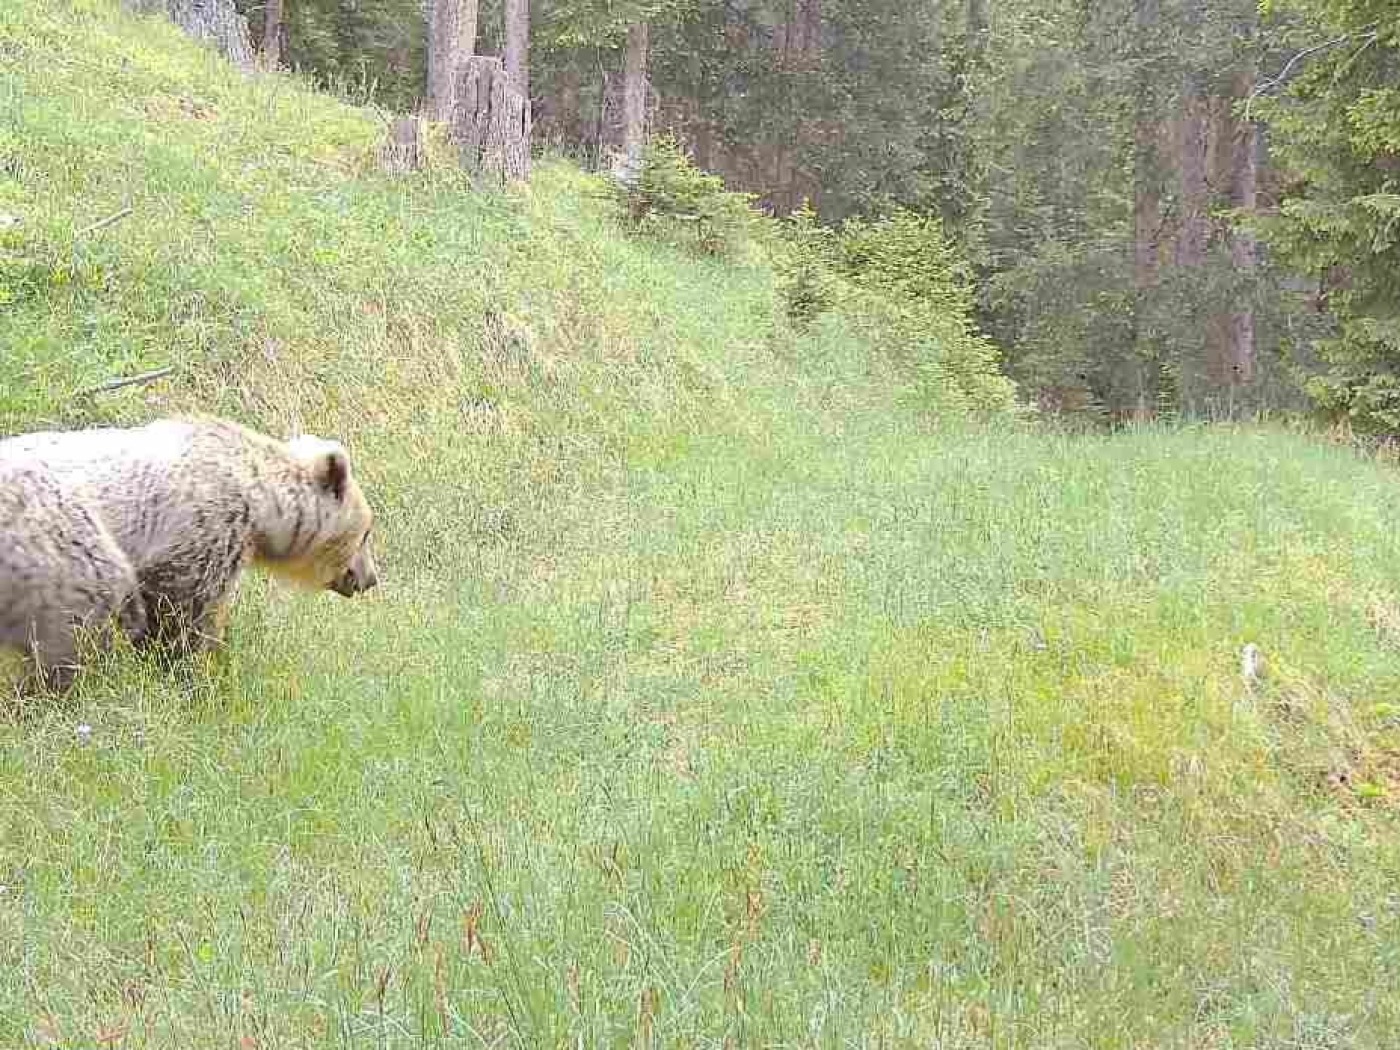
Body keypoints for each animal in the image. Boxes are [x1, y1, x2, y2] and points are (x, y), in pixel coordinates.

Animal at [0, 414, 378, 693]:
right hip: (54, 542)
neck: (262, 506)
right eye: (366, 533)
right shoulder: (204, 529)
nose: (370, 578)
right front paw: (192, 673)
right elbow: (183, 616)